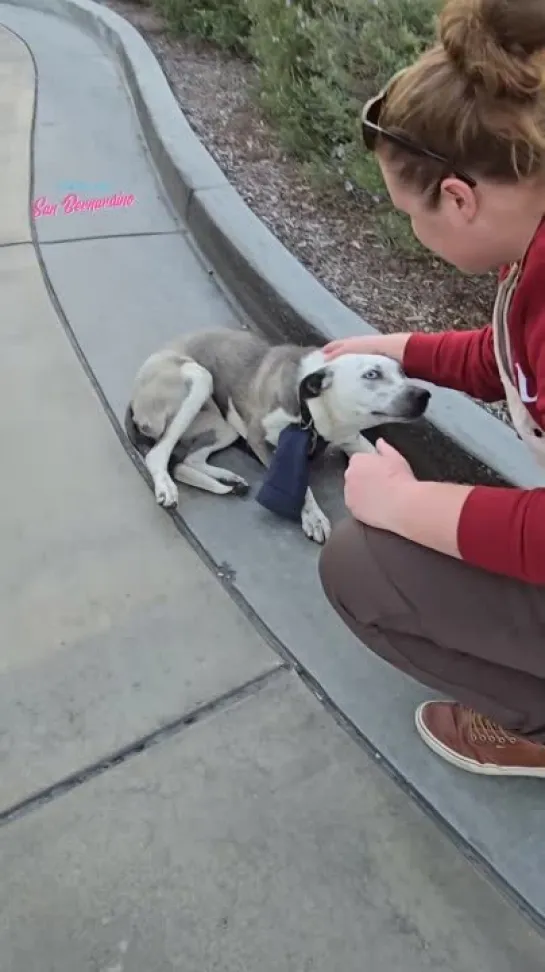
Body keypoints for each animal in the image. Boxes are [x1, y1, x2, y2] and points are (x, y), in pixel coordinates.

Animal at [124, 328, 430, 544]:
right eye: (372, 374)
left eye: (402, 373)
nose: (424, 395)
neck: (313, 407)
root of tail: (135, 393)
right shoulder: (260, 439)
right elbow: (299, 483)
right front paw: (313, 516)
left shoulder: (351, 438)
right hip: (199, 378)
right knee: (158, 454)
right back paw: (167, 485)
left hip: (225, 425)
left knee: (190, 459)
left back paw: (227, 479)